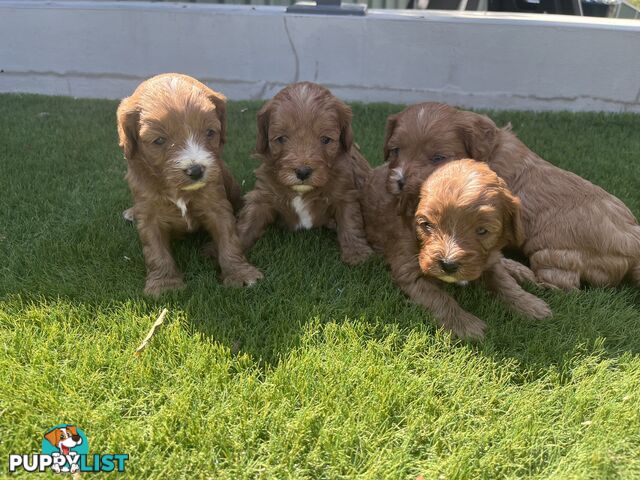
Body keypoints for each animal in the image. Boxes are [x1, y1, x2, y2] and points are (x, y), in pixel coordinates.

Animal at [116, 72, 262, 294]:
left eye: (210, 132)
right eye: (159, 141)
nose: (196, 170)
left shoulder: (216, 203)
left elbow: (229, 238)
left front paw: (240, 274)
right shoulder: (148, 212)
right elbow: (155, 249)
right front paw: (165, 284)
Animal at [238, 80, 372, 264]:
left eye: (326, 140)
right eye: (281, 139)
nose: (302, 172)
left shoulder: (345, 192)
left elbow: (350, 220)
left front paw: (357, 254)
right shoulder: (262, 195)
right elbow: (248, 222)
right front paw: (226, 250)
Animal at [362, 159, 552, 340]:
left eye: (482, 231)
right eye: (426, 225)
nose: (448, 265)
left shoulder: (488, 260)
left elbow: (504, 281)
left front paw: (530, 304)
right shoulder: (408, 269)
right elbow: (438, 297)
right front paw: (465, 324)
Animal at [384, 102, 640, 288]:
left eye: (438, 158)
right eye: (395, 150)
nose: (400, 182)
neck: (491, 152)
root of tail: (633, 240)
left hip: (553, 251)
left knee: (559, 285)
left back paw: (516, 269)